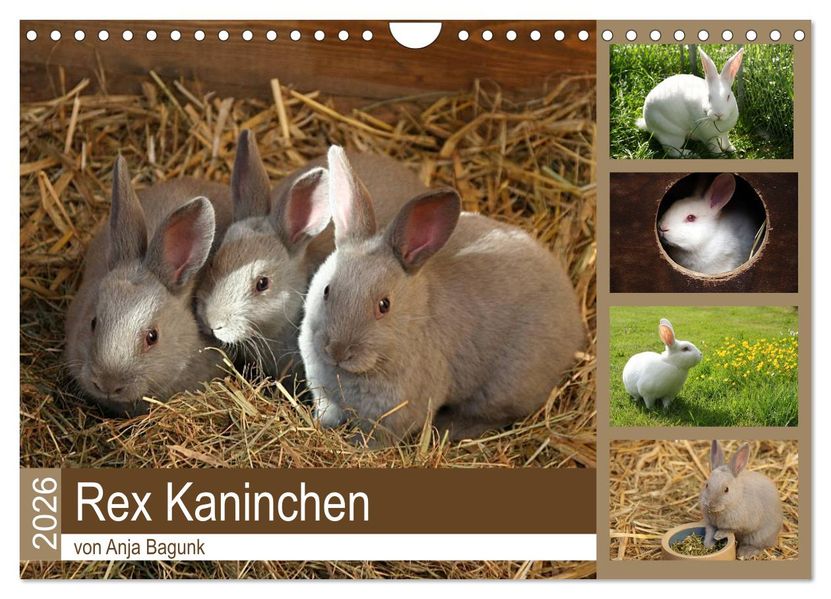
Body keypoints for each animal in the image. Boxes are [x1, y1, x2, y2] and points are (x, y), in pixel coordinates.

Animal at [298, 146, 586, 444]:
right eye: (327, 290)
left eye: (384, 305)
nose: (337, 350)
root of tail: (574, 323)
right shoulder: (326, 399)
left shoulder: (391, 419)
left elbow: (373, 440)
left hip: (505, 388)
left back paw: (448, 427)